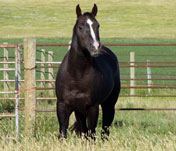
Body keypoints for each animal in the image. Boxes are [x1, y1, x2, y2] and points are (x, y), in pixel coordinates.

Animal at [55, 3, 120, 139]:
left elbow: (92, 133)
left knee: (105, 130)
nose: (95, 47)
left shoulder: (92, 107)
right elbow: (63, 132)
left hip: (109, 105)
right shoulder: (63, 106)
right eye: (80, 27)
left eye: (97, 25)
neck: (77, 75)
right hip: (79, 111)